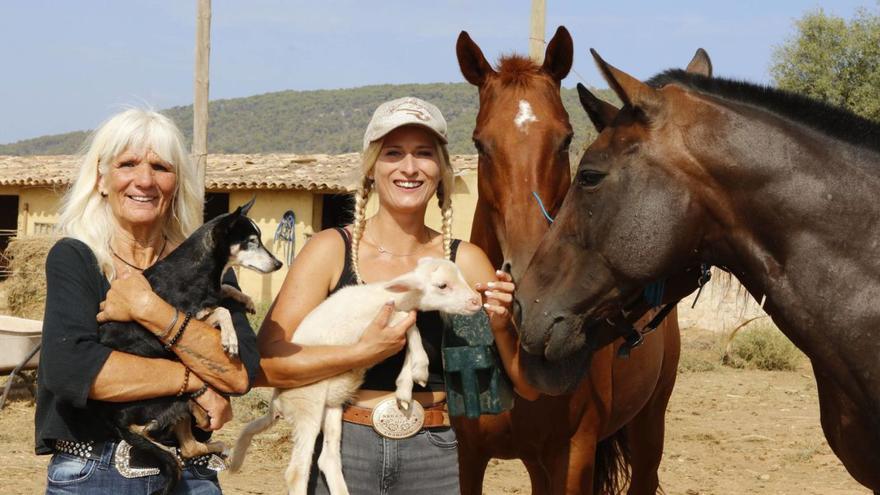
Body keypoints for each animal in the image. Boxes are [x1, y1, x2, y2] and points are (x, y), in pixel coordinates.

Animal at [229, 258, 482, 494]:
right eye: (442, 285)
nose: (476, 301)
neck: (389, 296)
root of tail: (276, 403)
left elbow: (408, 333)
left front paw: (404, 388)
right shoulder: (373, 324)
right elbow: (409, 326)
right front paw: (420, 368)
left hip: (331, 410)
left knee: (327, 459)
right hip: (307, 406)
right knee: (296, 472)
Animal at [450, 29, 704, 494]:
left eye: (566, 139)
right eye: (480, 143)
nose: (529, 285)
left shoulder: (574, 454)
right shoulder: (469, 454)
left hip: (648, 426)